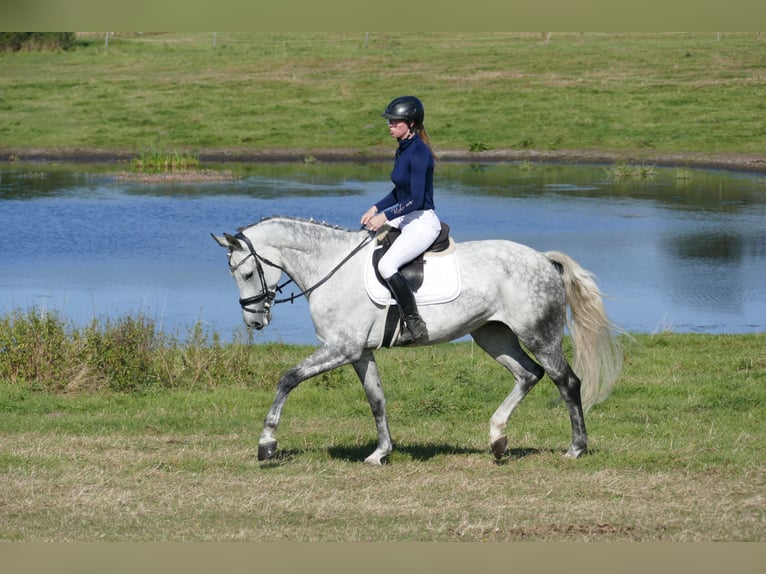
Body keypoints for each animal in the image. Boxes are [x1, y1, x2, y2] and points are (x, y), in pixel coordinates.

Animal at [212, 216, 624, 468]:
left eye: (246, 274)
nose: (254, 321)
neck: (332, 268)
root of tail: (543, 259)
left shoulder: (342, 349)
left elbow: (288, 378)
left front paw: (267, 444)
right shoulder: (359, 353)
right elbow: (376, 399)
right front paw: (380, 453)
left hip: (538, 335)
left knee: (566, 381)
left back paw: (575, 448)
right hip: (492, 335)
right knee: (528, 375)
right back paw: (497, 439)